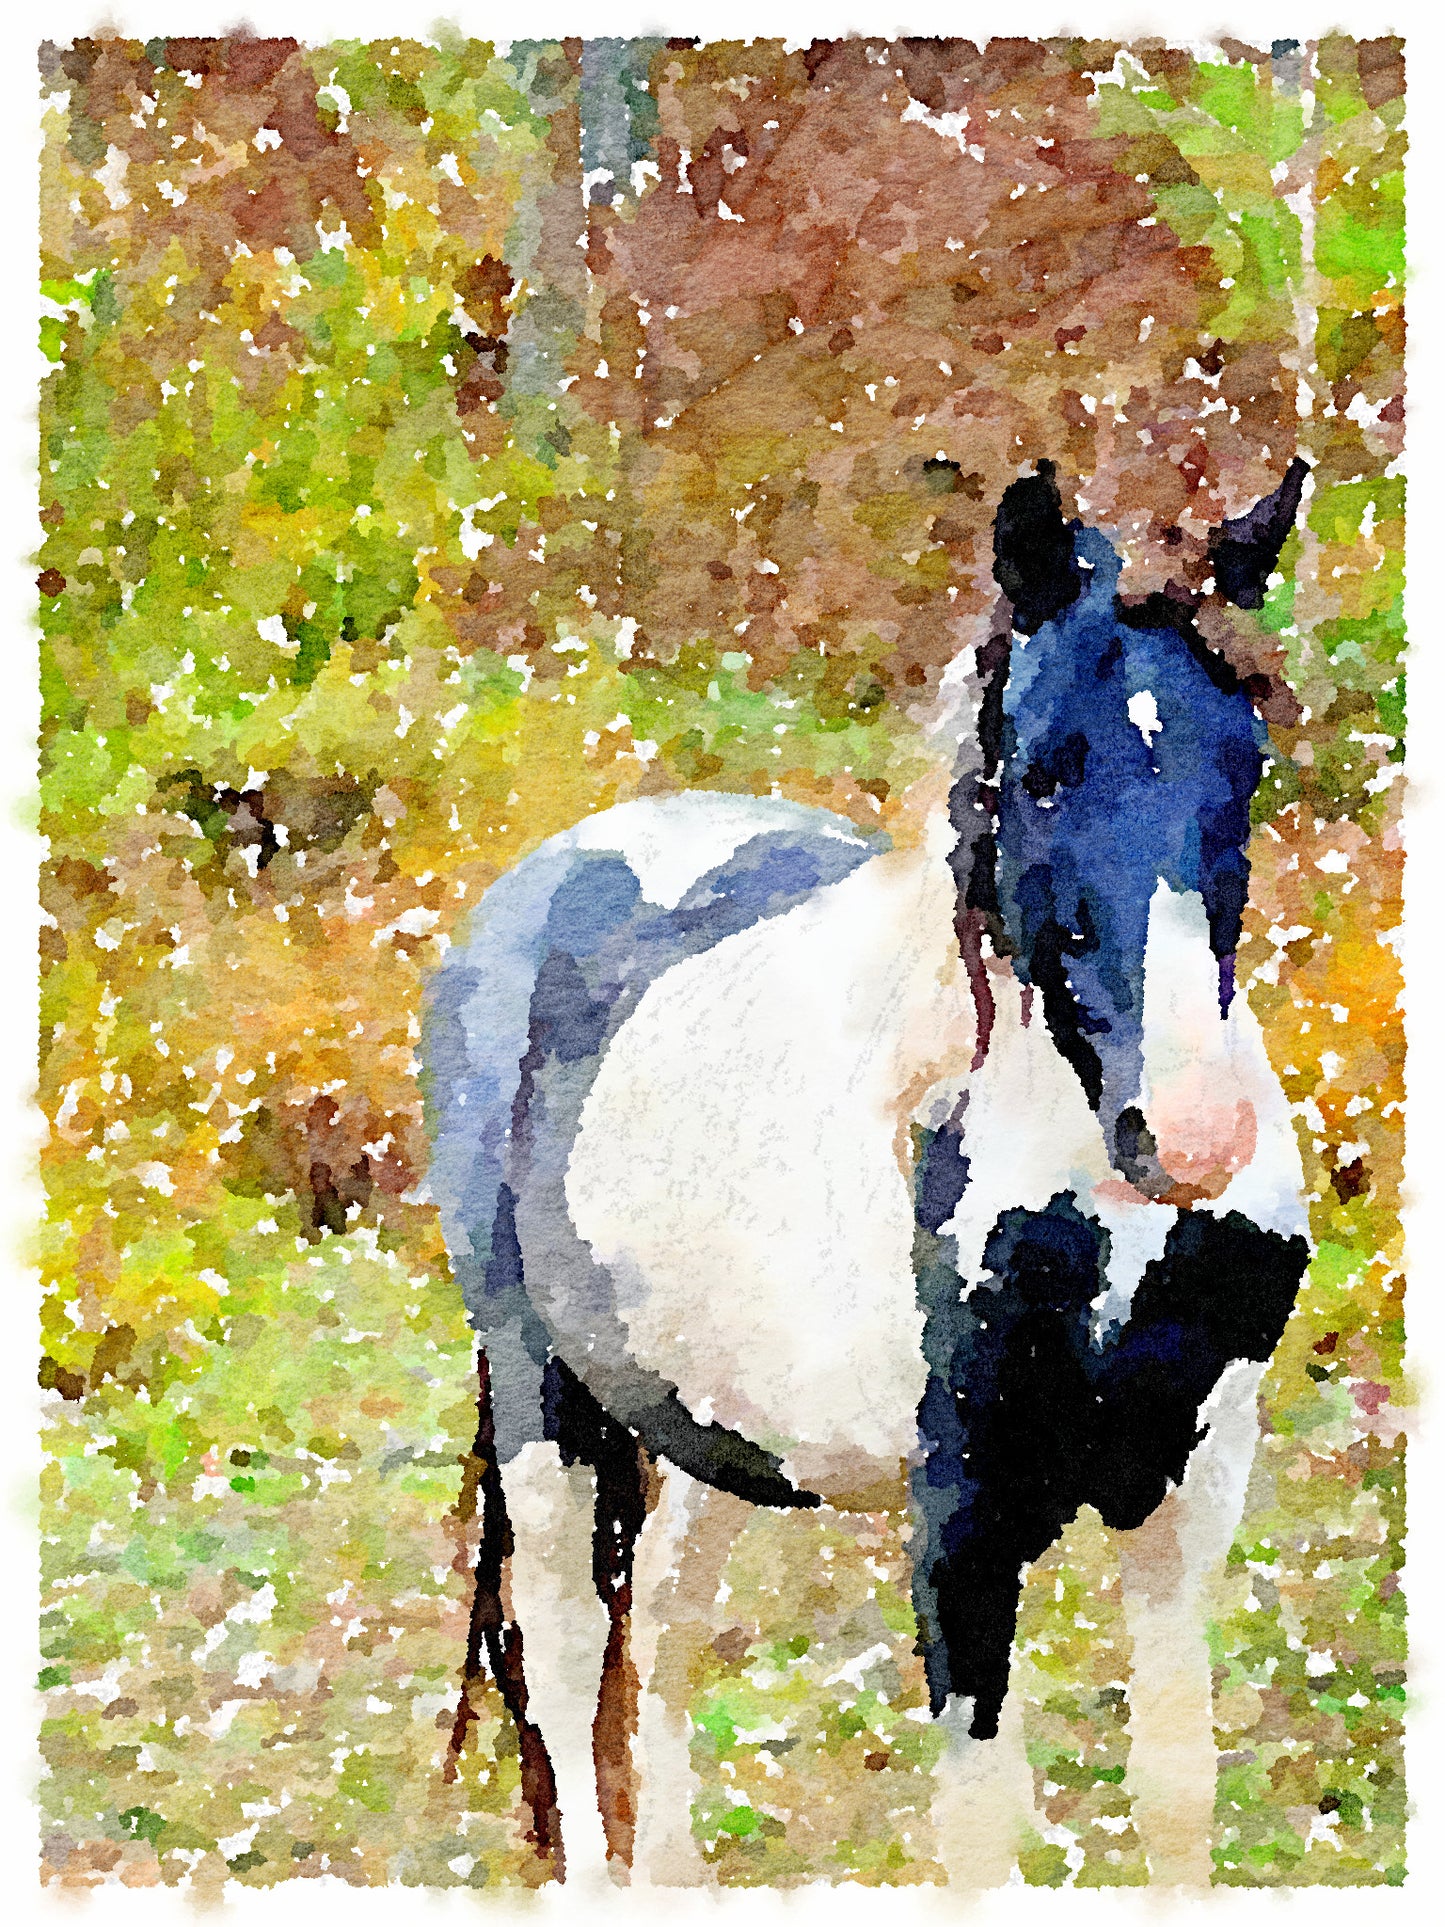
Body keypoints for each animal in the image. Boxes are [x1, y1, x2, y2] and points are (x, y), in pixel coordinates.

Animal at [421, 460, 1312, 1888]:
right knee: (564, 1660)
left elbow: (1176, 1795)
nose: (1188, 1133)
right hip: (539, 1396)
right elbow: (980, 1832)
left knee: (659, 1634)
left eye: (1242, 760)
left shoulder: (1187, 1485)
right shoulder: (962, 1524)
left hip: (705, 1426)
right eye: (1041, 777)